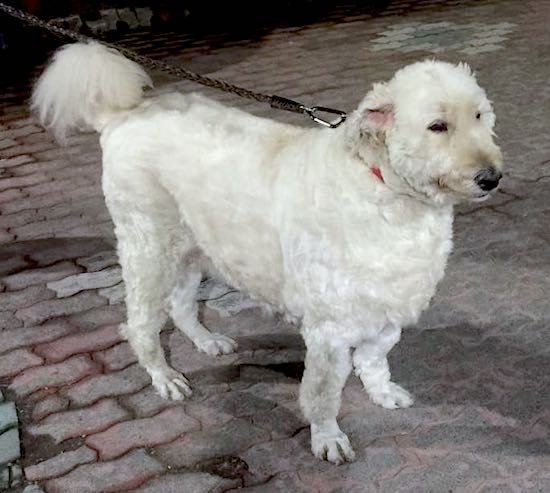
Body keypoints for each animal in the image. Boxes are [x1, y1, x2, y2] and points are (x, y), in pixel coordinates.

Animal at [30, 41, 504, 462]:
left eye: (480, 116)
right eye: (437, 126)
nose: (492, 177)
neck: (384, 187)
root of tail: (122, 116)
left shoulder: (388, 305)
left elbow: (375, 358)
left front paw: (382, 392)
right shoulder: (329, 329)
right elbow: (322, 393)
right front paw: (327, 438)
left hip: (192, 247)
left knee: (181, 305)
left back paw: (206, 341)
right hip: (149, 248)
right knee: (141, 325)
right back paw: (164, 376)